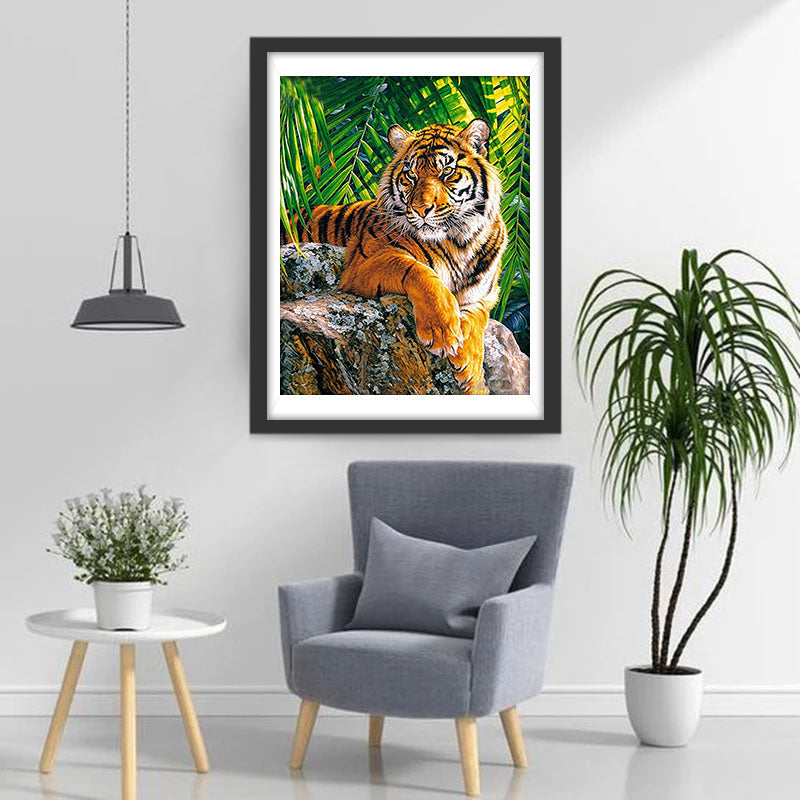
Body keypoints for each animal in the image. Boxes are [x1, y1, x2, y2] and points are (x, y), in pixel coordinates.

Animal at [282, 119, 507, 395]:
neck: (459, 241)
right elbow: (418, 271)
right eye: (411, 175)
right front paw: (441, 330)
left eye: (447, 172)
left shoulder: (485, 294)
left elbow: (478, 317)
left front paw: (472, 373)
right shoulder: (361, 264)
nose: (421, 209)